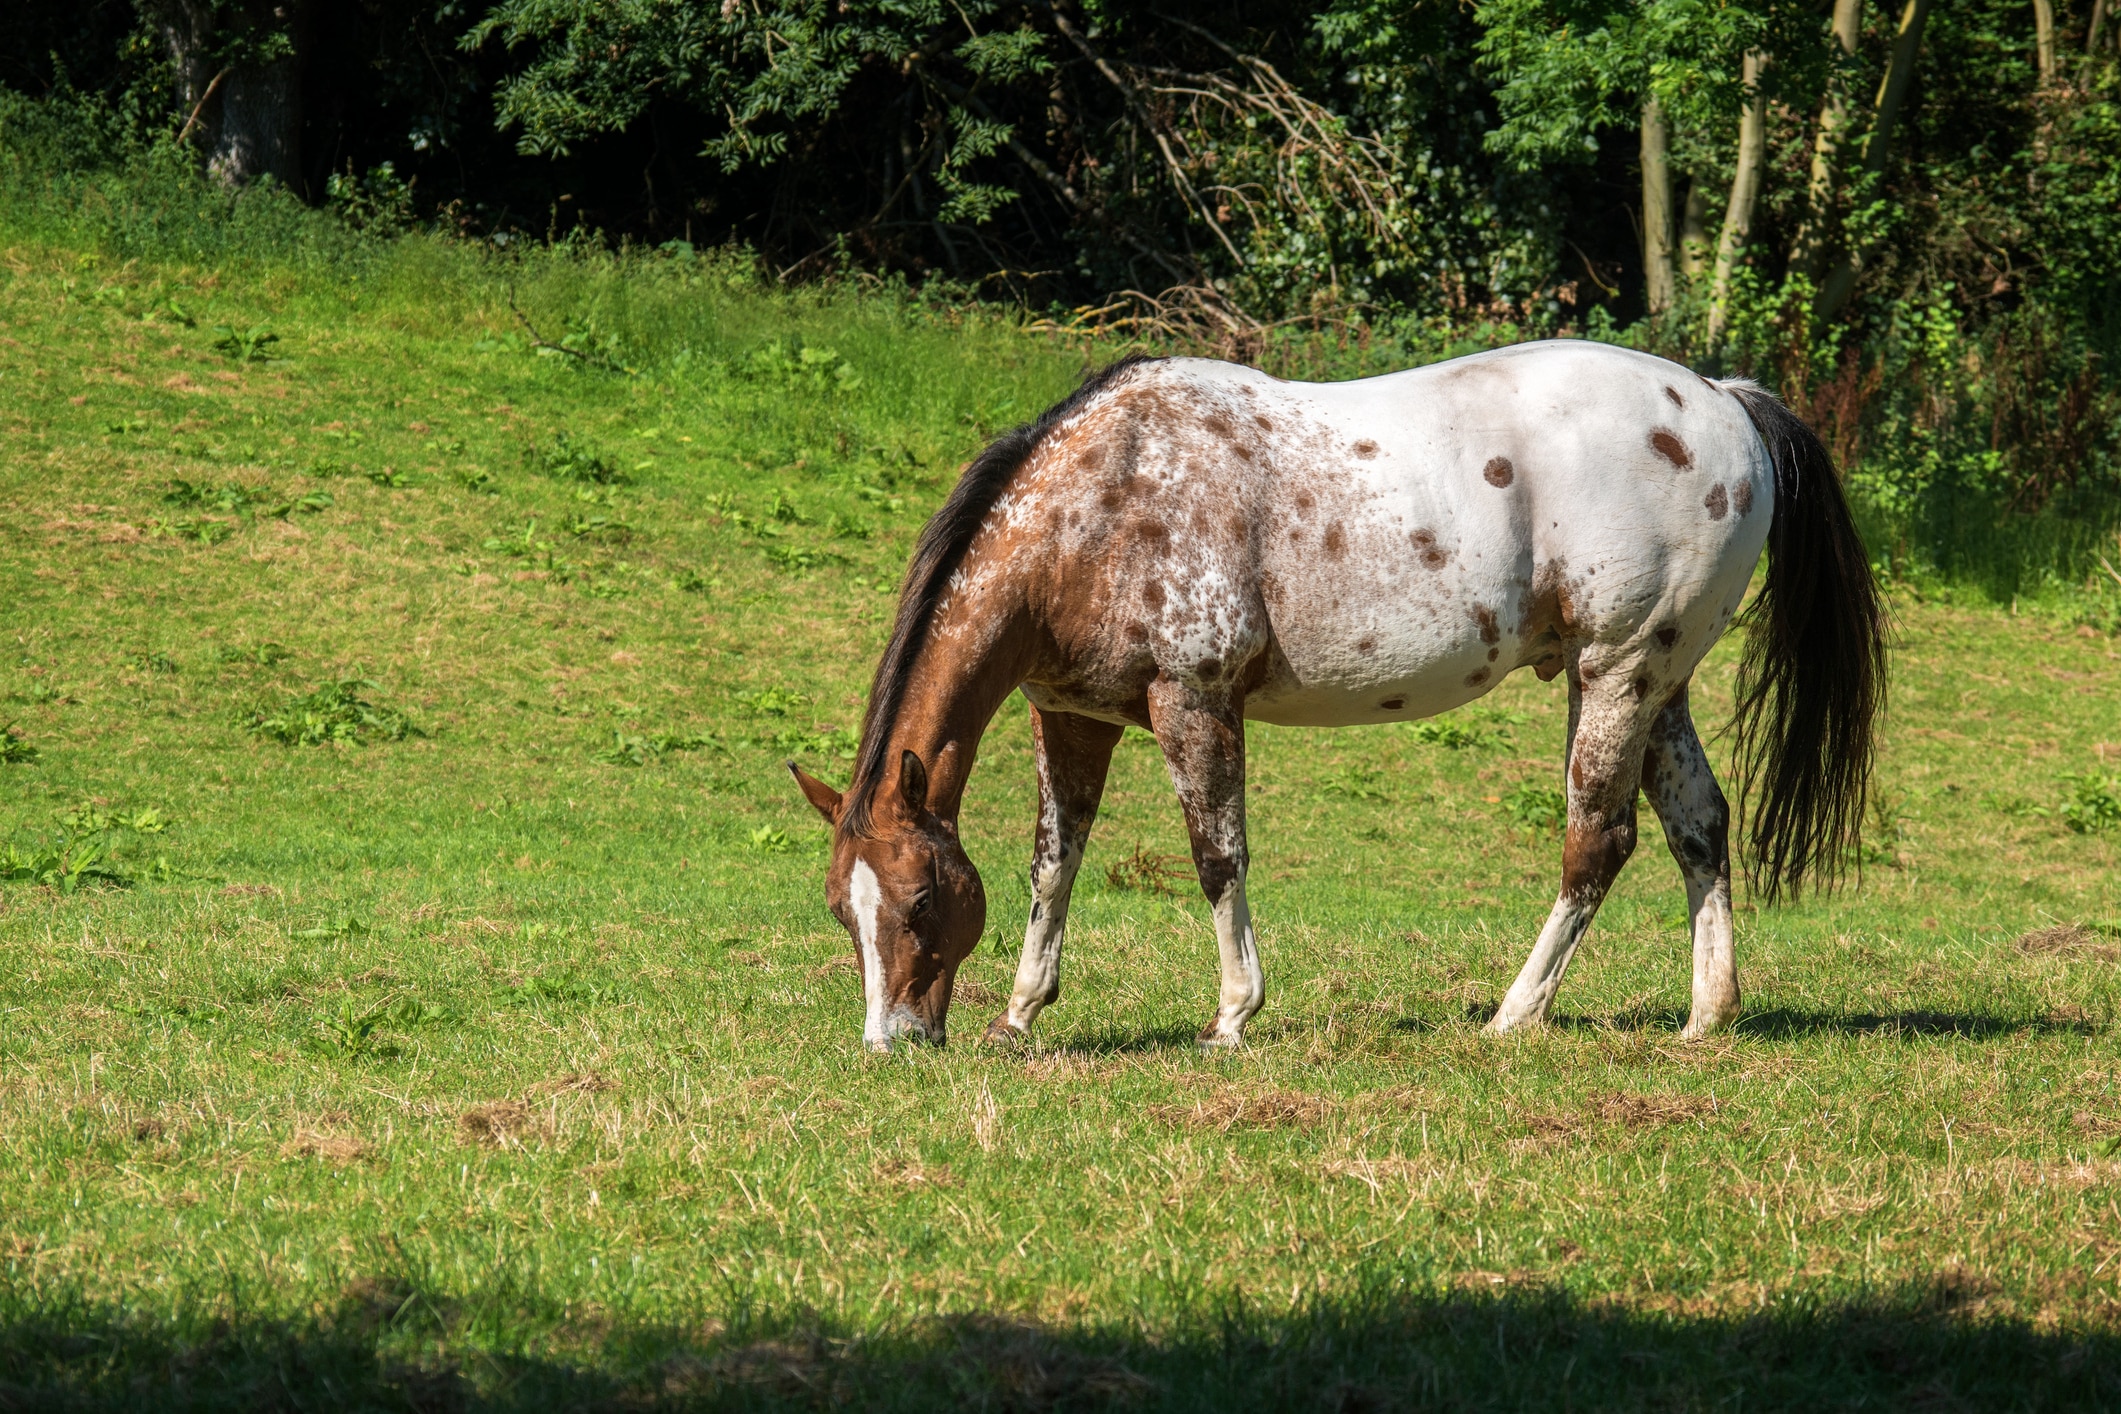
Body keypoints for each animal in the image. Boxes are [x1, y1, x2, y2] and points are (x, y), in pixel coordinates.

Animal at [789, 343, 1883, 1051]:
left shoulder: (1194, 703)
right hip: (1661, 681)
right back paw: (1706, 1017)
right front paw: (1021, 1014)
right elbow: (1054, 863)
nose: (894, 1040)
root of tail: (1722, 400)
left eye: (920, 900)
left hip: (1614, 674)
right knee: (1699, 826)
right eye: (846, 911)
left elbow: (1216, 858)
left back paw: (1514, 1014)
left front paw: (1233, 1015)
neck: (1105, 502)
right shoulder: (1073, 717)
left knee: (1597, 843)